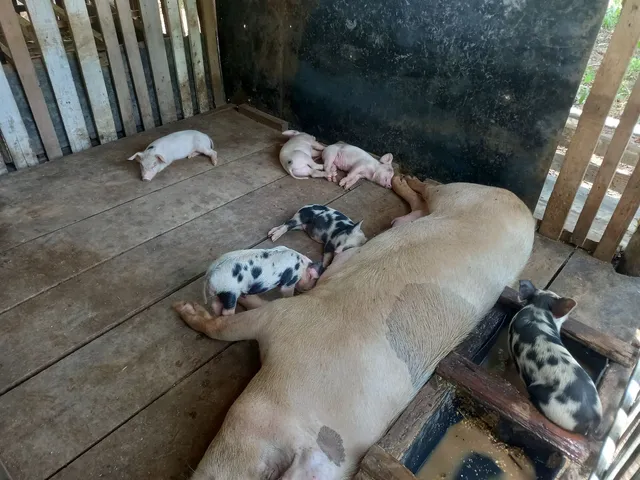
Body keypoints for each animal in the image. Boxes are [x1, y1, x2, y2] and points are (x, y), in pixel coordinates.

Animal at [172, 176, 535, 479]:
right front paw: (187, 308)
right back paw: (403, 177)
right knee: (429, 193)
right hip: (462, 193)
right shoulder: (292, 314)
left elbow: (228, 326)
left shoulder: (287, 319)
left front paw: (188, 309)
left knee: (420, 207)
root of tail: (526, 212)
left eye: (267, 472)